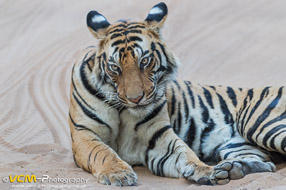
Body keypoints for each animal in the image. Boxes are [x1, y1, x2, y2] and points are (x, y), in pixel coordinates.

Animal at [69, 2, 286, 186]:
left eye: (145, 61)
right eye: (115, 67)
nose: (135, 99)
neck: (124, 110)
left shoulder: (158, 135)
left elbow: (184, 152)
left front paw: (205, 170)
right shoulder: (84, 132)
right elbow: (102, 152)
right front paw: (119, 174)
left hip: (258, 124)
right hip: (238, 145)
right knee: (268, 164)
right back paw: (230, 169)